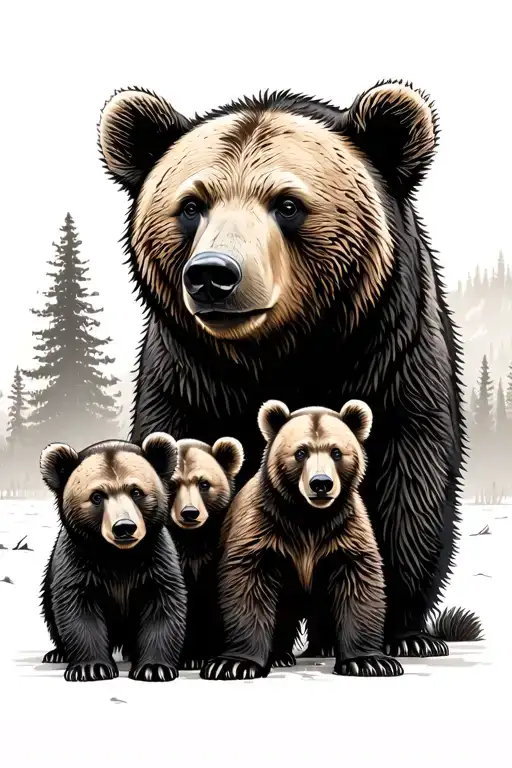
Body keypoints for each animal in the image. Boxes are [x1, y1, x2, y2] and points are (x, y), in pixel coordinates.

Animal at [40, 433, 187, 682]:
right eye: (97, 496)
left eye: (136, 491)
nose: (124, 527)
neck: (118, 557)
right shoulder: (78, 562)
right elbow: (78, 609)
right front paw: (91, 668)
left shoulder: (155, 560)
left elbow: (162, 605)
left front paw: (154, 667)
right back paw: (57, 653)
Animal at [168, 436, 244, 670]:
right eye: (172, 484)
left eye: (204, 484)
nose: (190, 513)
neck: (193, 539)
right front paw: (189, 657)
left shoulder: (217, 550)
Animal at [200, 398, 404, 680]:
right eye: (300, 452)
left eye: (336, 452)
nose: (321, 483)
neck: (309, 519)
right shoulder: (264, 528)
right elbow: (248, 583)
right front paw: (233, 664)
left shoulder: (344, 531)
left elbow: (357, 582)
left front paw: (370, 661)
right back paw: (279, 655)